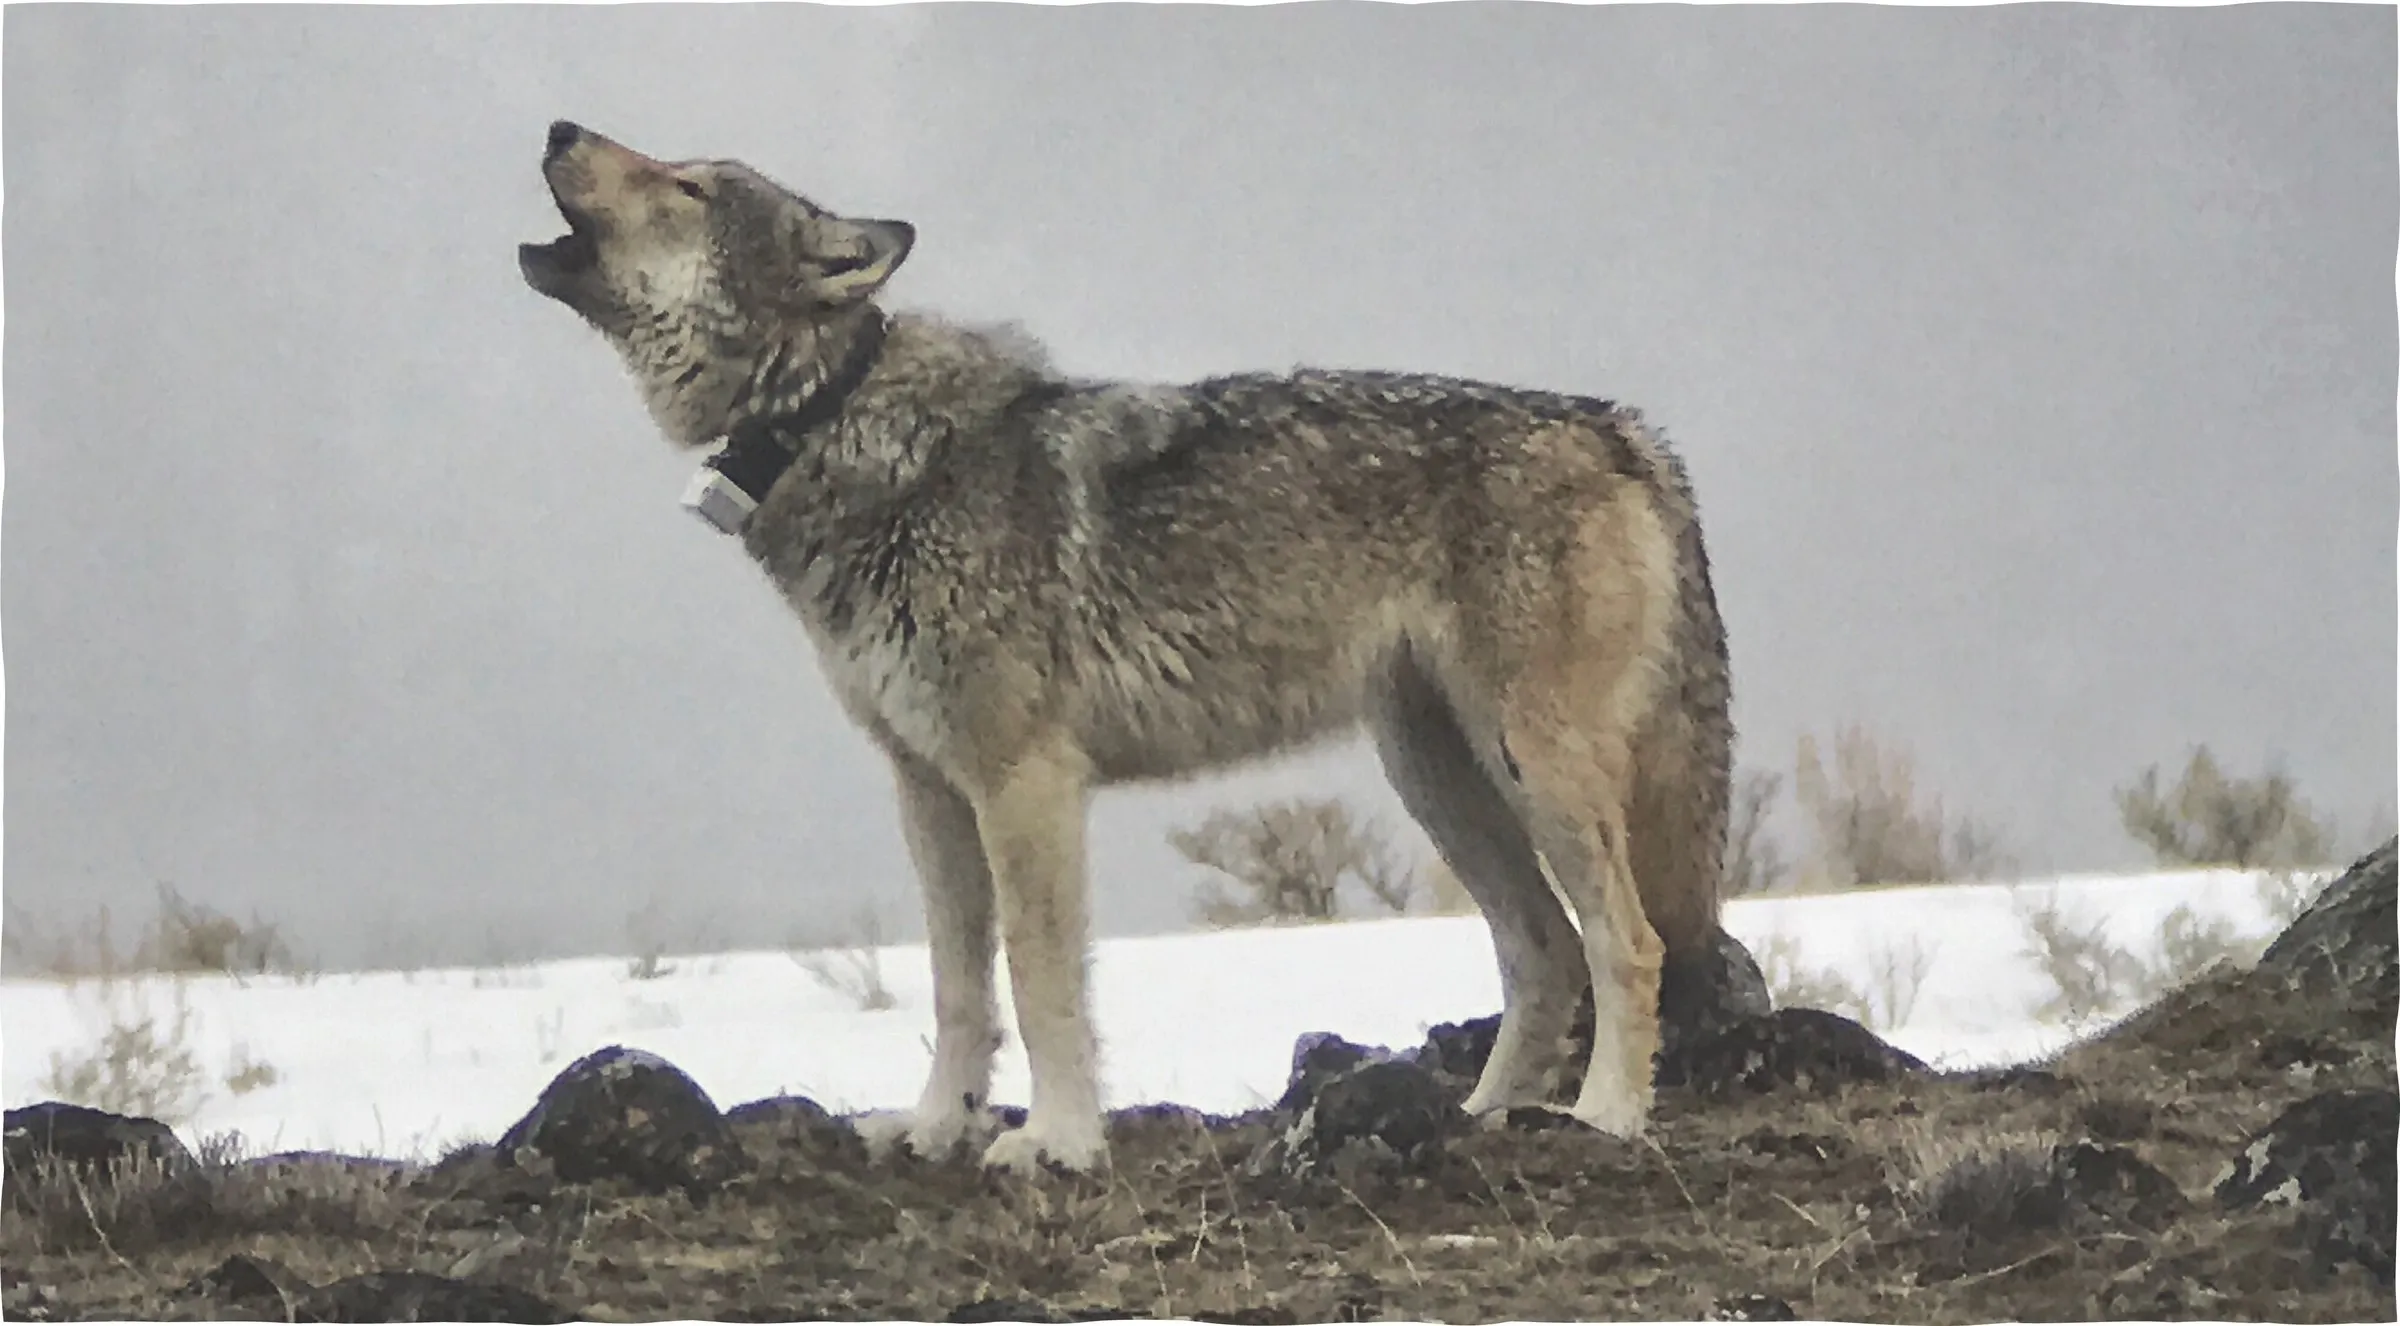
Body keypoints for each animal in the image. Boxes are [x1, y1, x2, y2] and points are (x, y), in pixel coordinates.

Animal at [519, 120, 1735, 1175]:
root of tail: (1617, 425)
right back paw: (1479, 1119)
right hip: (1440, 779)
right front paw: (937, 1128)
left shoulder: (1026, 784)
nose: (560, 127)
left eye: (688, 186)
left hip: (1532, 769)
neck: (836, 423)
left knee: (1627, 943)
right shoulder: (928, 790)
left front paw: (1056, 1143)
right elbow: (958, 988)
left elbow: (1040, 978)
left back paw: (1605, 1118)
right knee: (1545, 950)